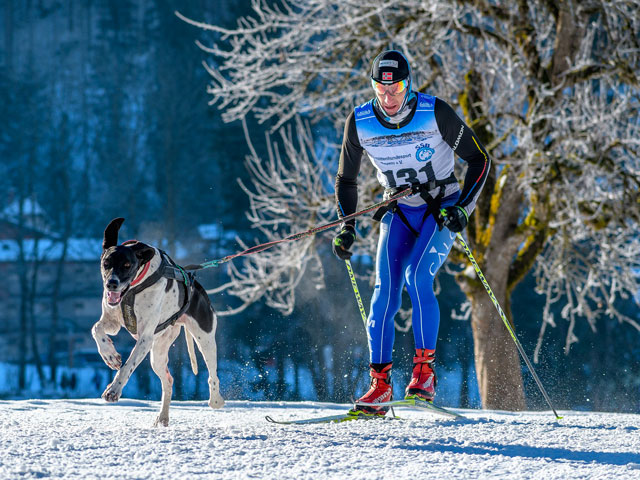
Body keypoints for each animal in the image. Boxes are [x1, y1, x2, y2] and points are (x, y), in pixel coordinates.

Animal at [92, 216, 225, 426]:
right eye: (106, 263)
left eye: (127, 265)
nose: (111, 284)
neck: (134, 287)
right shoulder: (112, 322)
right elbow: (97, 329)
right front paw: (110, 355)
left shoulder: (145, 338)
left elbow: (128, 366)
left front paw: (114, 389)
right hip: (158, 353)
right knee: (168, 381)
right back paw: (162, 417)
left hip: (205, 339)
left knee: (213, 375)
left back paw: (216, 400)